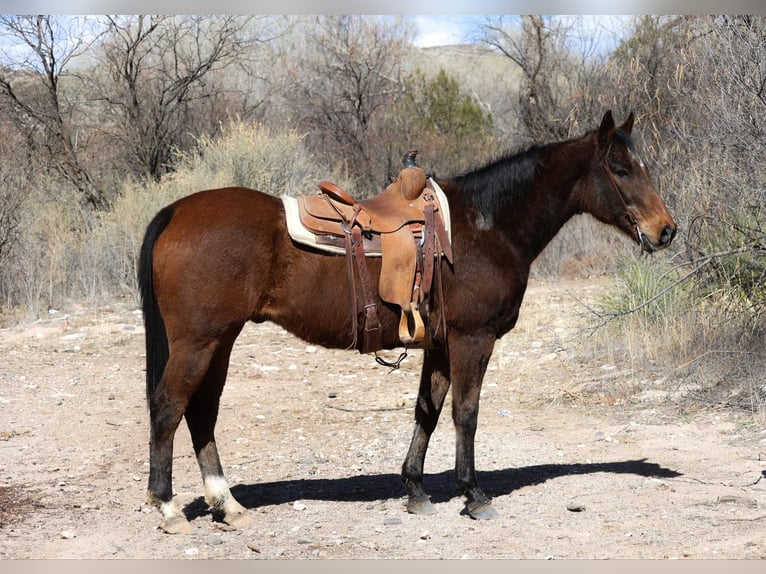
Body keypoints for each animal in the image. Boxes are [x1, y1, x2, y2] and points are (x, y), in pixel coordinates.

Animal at [138, 110, 676, 533]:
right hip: (199, 342)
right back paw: (166, 507)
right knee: (169, 407)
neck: (486, 227)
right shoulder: (472, 340)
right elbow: (465, 414)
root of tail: (174, 211)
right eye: (621, 169)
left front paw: (416, 490)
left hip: (220, 341)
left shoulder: (438, 345)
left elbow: (427, 412)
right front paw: (473, 495)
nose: (666, 230)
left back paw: (227, 504)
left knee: (201, 412)